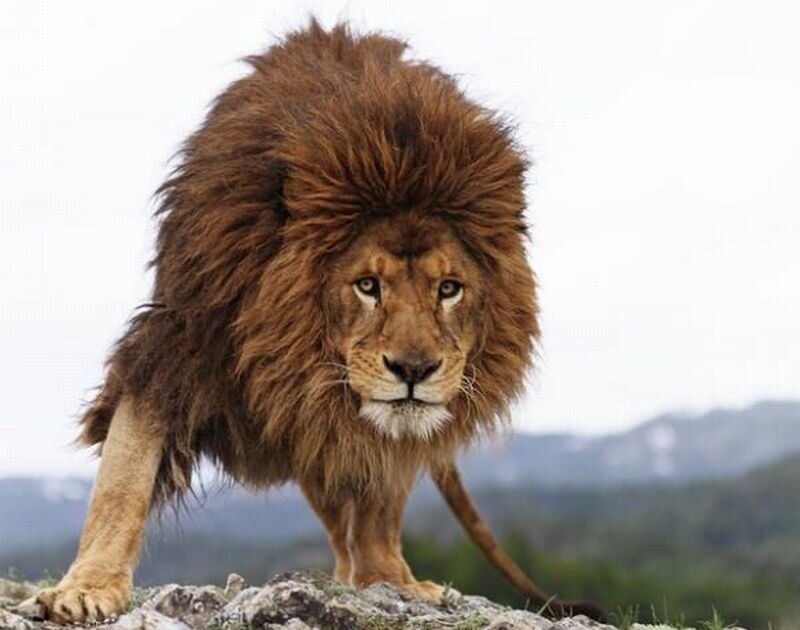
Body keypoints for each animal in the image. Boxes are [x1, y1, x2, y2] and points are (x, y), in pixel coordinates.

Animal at [34, 20, 603, 623]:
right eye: (367, 285)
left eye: (448, 289)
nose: (414, 371)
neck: (283, 344)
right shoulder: (175, 348)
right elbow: (123, 479)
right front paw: (87, 587)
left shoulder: (361, 422)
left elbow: (380, 495)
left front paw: (388, 579)